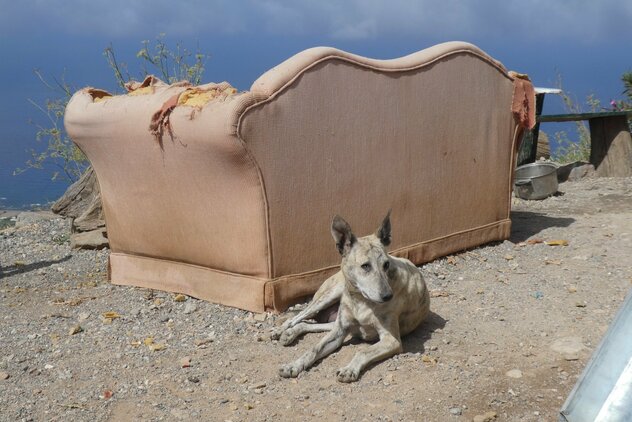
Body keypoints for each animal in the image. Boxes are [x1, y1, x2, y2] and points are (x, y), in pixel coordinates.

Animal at [272, 211, 430, 382]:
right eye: (365, 266)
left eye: (386, 264)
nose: (388, 296)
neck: (360, 300)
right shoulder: (340, 331)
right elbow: (314, 348)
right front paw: (293, 365)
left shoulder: (391, 340)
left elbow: (363, 351)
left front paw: (349, 369)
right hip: (330, 296)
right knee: (297, 316)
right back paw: (281, 330)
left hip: (338, 321)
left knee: (308, 324)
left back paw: (290, 333)